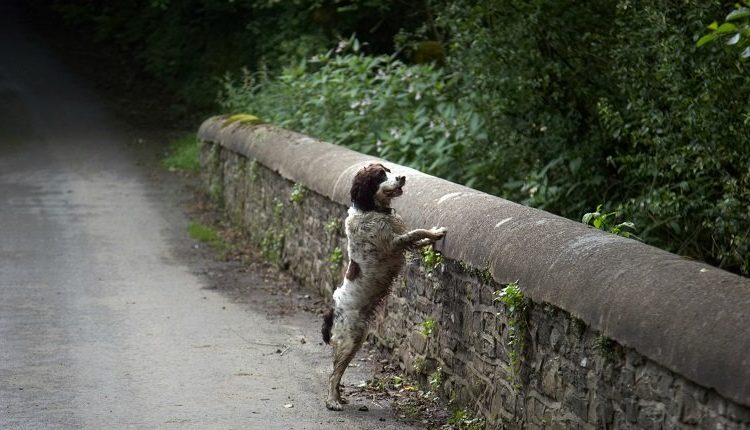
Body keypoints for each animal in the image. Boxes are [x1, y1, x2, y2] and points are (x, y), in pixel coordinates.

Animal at [322, 164, 446, 410]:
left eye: (388, 170)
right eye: (380, 175)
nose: (402, 177)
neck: (372, 209)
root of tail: (332, 313)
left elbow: (417, 239)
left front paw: (432, 237)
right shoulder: (393, 243)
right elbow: (416, 233)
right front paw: (435, 232)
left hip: (357, 339)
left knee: (338, 373)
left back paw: (340, 397)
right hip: (348, 341)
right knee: (333, 375)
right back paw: (332, 401)